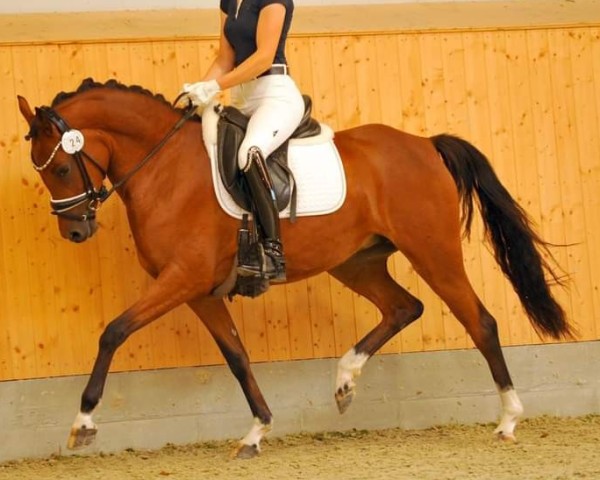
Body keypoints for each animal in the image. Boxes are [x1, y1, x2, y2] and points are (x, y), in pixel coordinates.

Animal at [17, 78, 572, 458]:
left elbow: (113, 331)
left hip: (432, 252)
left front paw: (83, 422)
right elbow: (237, 357)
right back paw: (345, 381)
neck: (165, 169)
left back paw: (508, 419)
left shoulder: (182, 280)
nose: (75, 232)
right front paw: (257, 430)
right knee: (403, 307)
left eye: (61, 167)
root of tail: (424, 144)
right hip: (356, 262)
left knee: (480, 322)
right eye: (43, 171)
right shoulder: (199, 291)